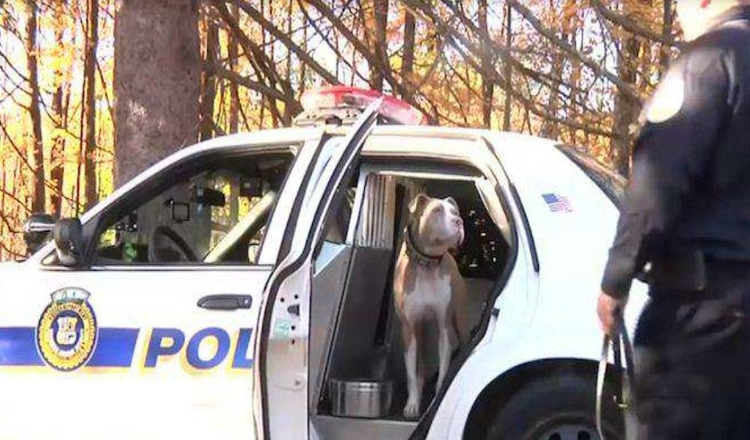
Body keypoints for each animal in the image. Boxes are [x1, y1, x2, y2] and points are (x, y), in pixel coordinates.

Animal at [394, 193, 464, 420]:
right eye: (436, 211)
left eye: (455, 212)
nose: (459, 222)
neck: (427, 265)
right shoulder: (408, 329)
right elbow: (410, 373)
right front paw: (412, 404)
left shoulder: (445, 326)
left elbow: (443, 368)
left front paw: (437, 400)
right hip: (421, 330)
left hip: (459, 321)